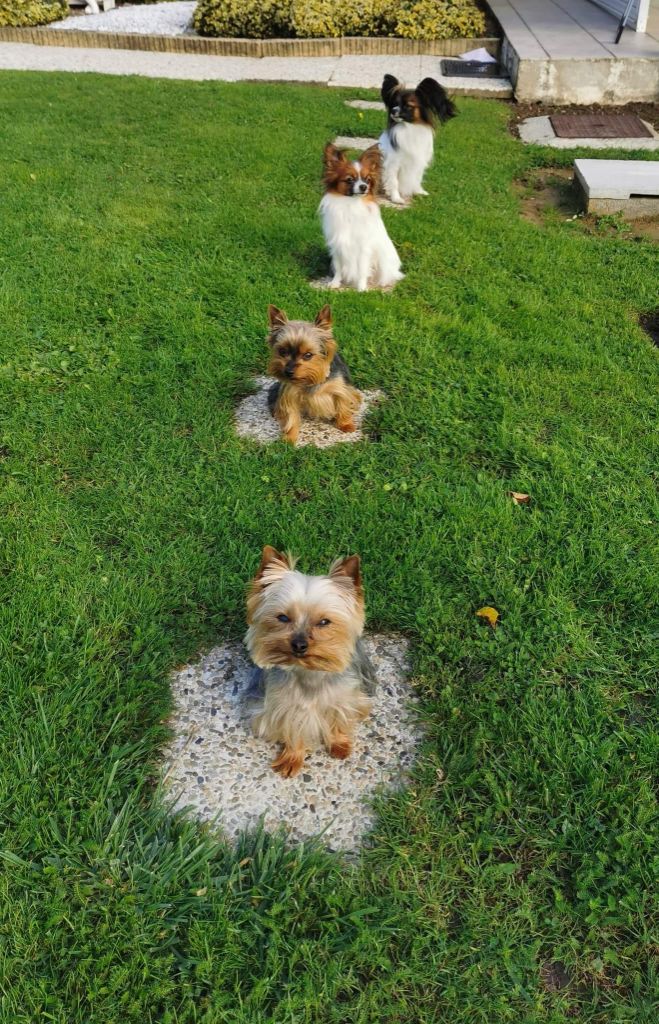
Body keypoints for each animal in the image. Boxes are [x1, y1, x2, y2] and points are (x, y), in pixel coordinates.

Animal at [243, 552, 378, 774]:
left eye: (324, 622)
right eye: (282, 617)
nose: (299, 644)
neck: (309, 672)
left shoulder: (343, 699)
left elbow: (337, 720)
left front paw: (339, 745)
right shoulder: (285, 707)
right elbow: (293, 730)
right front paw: (292, 758)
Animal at [266, 303, 360, 448]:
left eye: (308, 355)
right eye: (282, 351)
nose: (288, 372)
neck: (309, 380)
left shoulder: (339, 388)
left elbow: (342, 405)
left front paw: (346, 425)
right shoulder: (290, 394)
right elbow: (291, 417)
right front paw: (289, 438)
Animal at [317, 142, 403, 292]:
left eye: (367, 180)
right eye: (349, 180)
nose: (363, 187)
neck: (351, 203)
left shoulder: (364, 247)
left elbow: (362, 269)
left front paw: (361, 289)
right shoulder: (337, 245)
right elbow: (338, 267)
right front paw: (335, 283)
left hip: (384, 260)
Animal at [378, 72, 456, 205]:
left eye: (408, 106)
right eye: (394, 104)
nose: (393, 111)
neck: (409, 128)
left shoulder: (419, 160)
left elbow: (417, 177)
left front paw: (418, 191)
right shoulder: (392, 164)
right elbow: (394, 181)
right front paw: (396, 198)